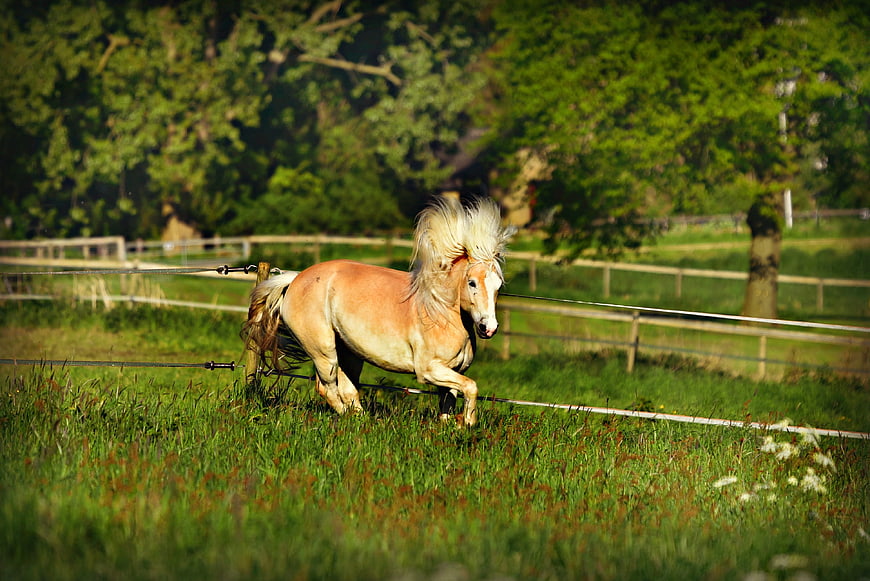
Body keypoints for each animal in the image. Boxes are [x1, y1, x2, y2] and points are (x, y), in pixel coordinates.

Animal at [242, 196, 513, 426]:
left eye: (498, 285)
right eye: (472, 283)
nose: (488, 328)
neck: (440, 313)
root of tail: (296, 280)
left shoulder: (452, 372)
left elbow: (449, 400)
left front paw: (452, 426)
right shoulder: (429, 370)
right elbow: (471, 387)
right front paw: (468, 422)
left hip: (348, 352)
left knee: (347, 389)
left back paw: (365, 420)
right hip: (323, 350)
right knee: (328, 388)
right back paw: (355, 421)